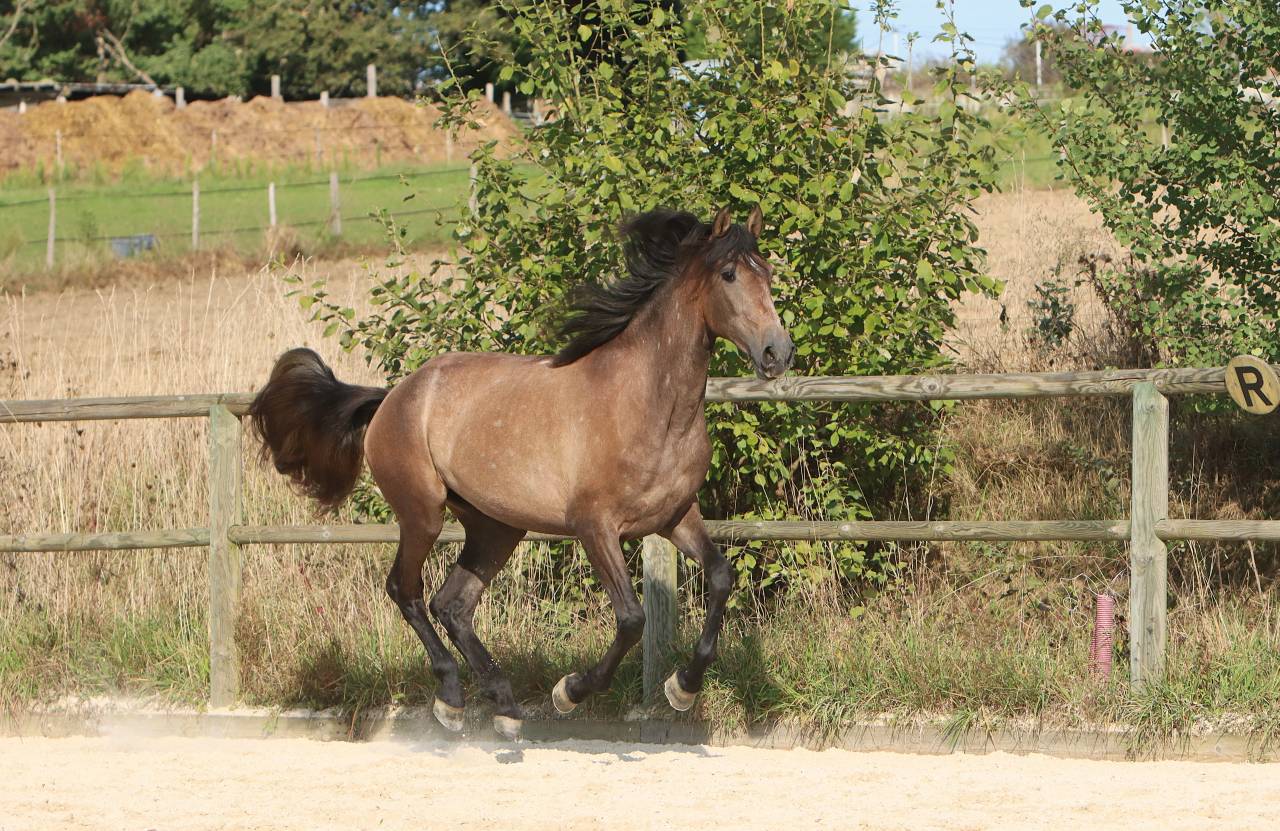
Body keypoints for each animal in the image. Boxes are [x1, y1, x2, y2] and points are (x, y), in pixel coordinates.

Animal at [248, 206, 794, 739]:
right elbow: (631, 618)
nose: (777, 353)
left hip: (496, 527)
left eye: (767, 273)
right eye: (728, 275)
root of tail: (394, 396)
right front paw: (569, 692)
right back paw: (451, 698)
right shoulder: (595, 527)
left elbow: (720, 577)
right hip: (423, 514)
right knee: (407, 591)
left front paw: (683, 687)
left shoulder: (675, 516)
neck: (650, 405)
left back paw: (504, 706)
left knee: (453, 604)